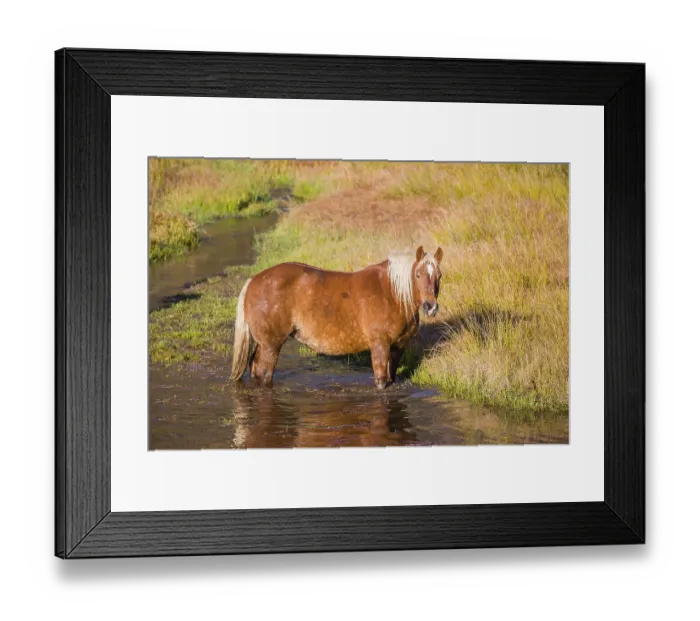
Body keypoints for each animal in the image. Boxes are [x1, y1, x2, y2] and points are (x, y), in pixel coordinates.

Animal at [231, 245, 443, 389]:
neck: (392, 293)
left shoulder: (398, 346)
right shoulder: (380, 345)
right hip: (271, 345)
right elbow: (381, 381)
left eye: (439, 276)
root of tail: (253, 281)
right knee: (264, 373)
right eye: (417, 274)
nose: (430, 307)